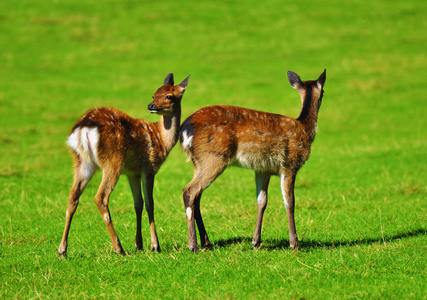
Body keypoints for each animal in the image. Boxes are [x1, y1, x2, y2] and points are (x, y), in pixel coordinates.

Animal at [58, 72, 191, 258]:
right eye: (154, 95)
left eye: (169, 95)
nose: (151, 105)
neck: (160, 139)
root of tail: (83, 128)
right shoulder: (149, 167)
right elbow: (150, 203)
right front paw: (155, 245)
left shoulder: (132, 173)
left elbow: (138, 204)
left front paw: (138, 244)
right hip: (113, 160)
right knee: (100, 197)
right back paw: (118, 248)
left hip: (82, 162)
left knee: (72, 196)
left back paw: (62, 250)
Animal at [179, 69, 326, 252]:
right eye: (324, 91)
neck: (304, 128)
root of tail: (184, 131)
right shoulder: (290, 165)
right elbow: (290, 202)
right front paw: (294, 244)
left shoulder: (263, 169)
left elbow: (261, 201)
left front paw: (256, 242)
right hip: (213, 157)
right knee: (189, 191)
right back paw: (193, 245)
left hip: (197, 162)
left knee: (197, 196)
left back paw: (206, 242)